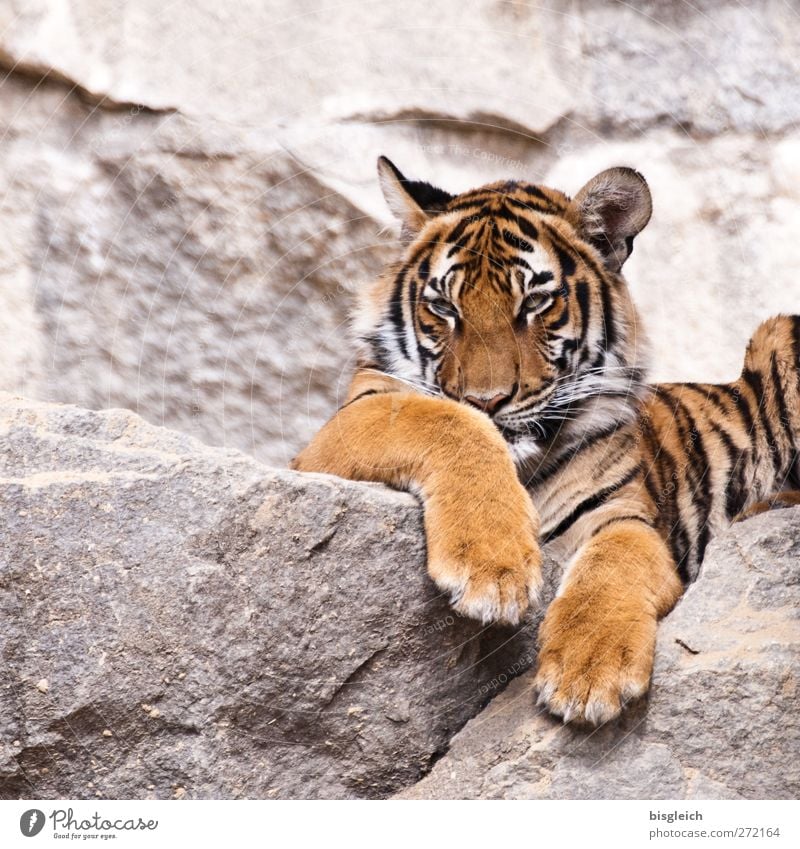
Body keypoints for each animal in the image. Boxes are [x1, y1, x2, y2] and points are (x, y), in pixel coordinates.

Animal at [292, 156, 800, 724]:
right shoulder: (343, 425)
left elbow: (613, 566)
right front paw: (493, 569)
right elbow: (444, 420)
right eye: (444, 307)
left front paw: (589, 671)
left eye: (535, 301)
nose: (487, 399)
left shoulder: (622, 514)